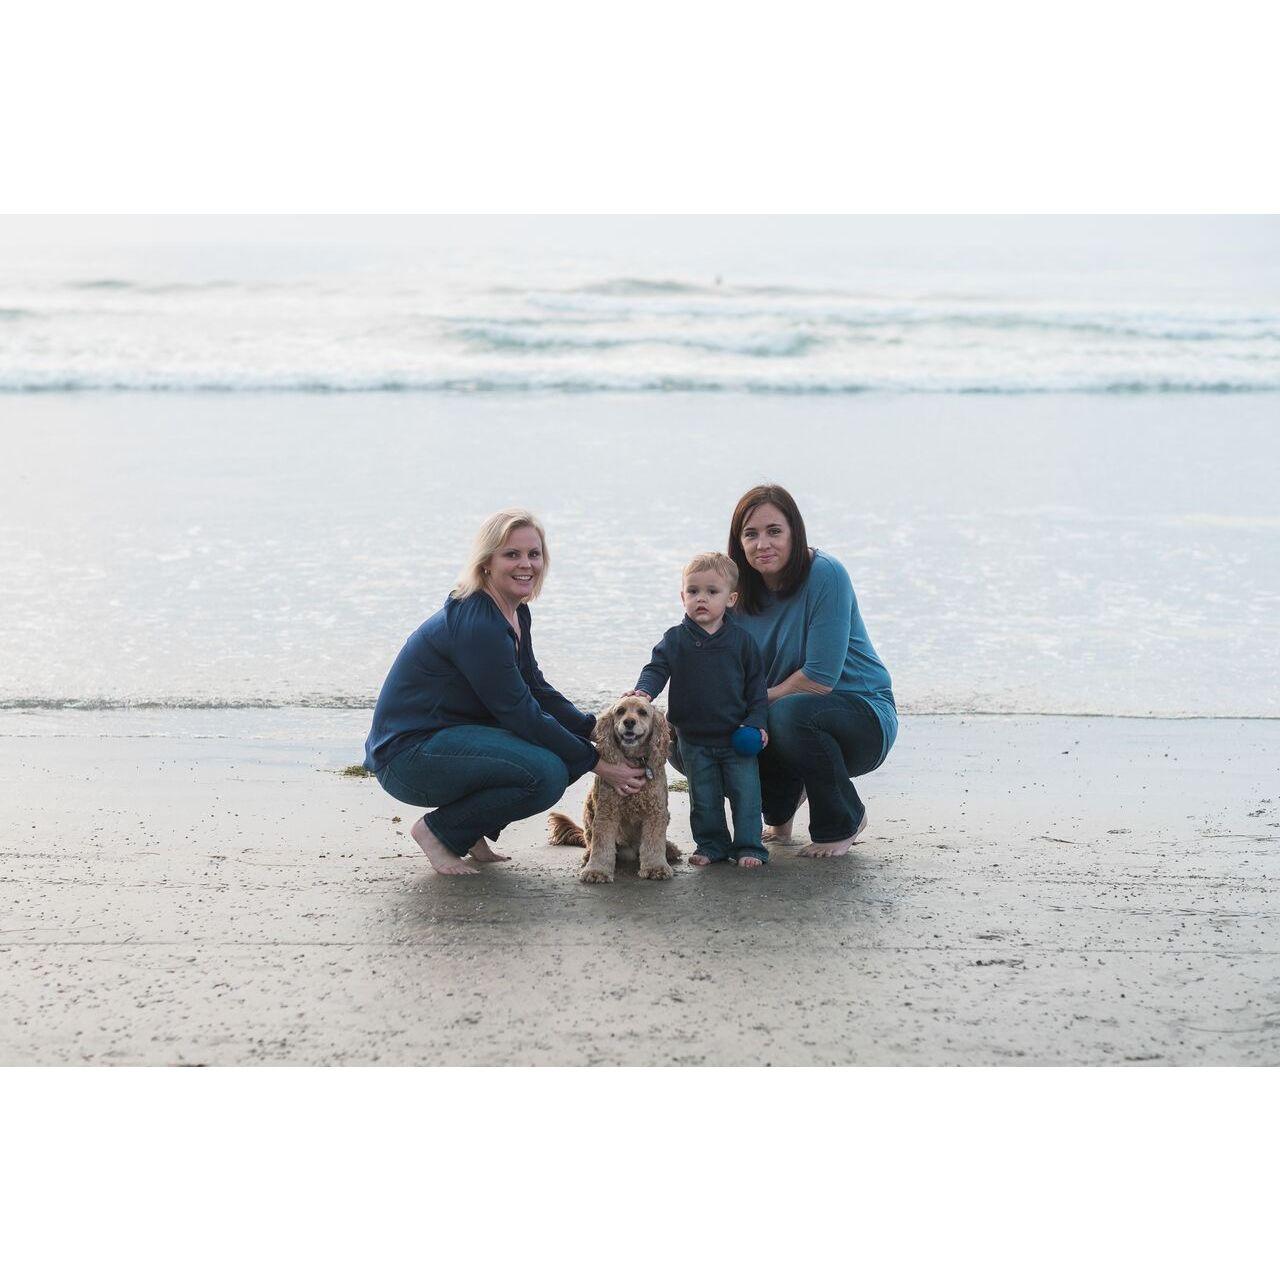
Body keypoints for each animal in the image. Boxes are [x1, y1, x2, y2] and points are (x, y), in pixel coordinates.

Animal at [547, 696, 682, 882]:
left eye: (642, 712)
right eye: (620, 711)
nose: (629, 722)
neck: (633, 759)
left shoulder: (656, 812)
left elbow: (654, 843)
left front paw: (656, 867)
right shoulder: (606, 811)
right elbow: (602, 844)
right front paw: (596, 871)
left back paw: (670, 849)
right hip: (588, 812)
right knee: (590, 841)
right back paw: (588, 855)